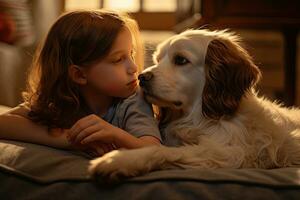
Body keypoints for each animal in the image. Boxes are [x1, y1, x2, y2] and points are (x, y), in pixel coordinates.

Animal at [88, 28, 300, 180]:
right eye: (157, 59)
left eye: (181, 60)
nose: (142, 77)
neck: (198, 118)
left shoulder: (229, 153)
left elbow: (162, 150)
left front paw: (122, 160)